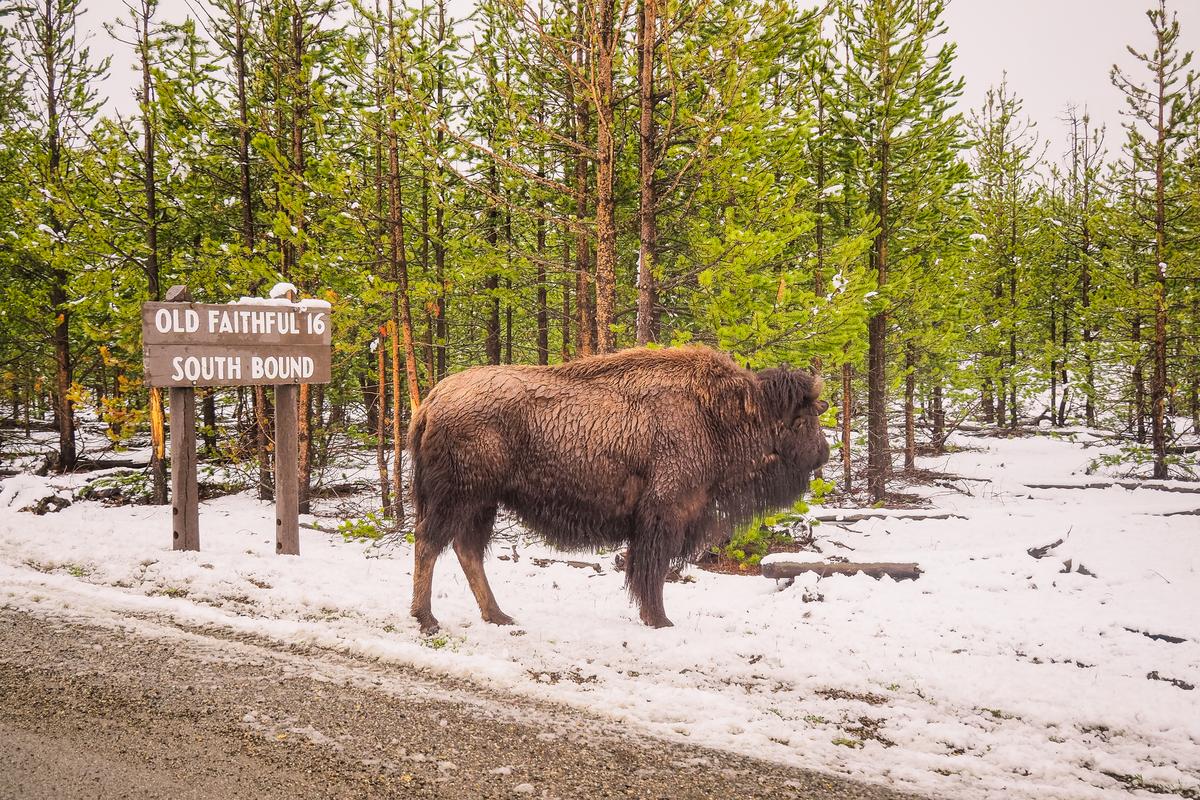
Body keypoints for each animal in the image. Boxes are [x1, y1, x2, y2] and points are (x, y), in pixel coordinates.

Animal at [408, 345, 830, 632]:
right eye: (804, 418)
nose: (823, 453)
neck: (717, 413)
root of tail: (431, 401)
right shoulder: (663, 513)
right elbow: (651, 569)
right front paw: (659, 620)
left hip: (482, 502)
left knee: (467, 550)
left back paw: (498, 615)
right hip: (460, 497)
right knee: (429, 542)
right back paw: (427, 619)